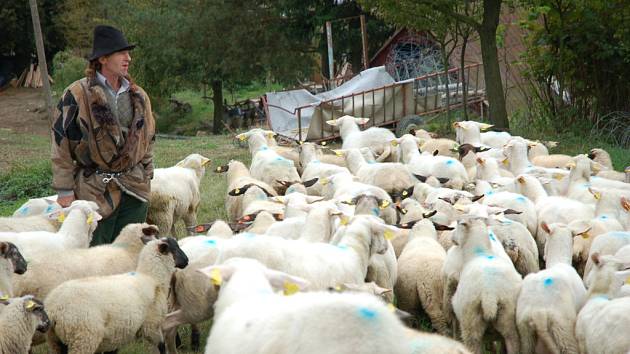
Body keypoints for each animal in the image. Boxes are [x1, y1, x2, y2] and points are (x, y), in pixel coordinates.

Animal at [45, 236, 189, 352]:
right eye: (175, 248)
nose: (187, 261)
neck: (152, 277)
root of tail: (54, 309)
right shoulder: (151, 326)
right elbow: (161, 346)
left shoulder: (116, 336)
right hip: (83, 338)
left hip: (56, 342)